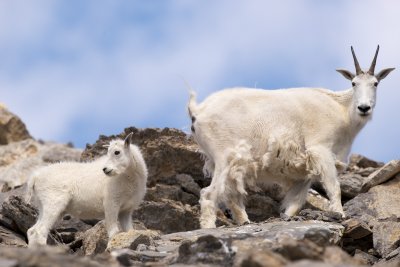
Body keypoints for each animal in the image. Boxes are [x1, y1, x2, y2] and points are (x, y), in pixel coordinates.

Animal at [188, 45, 394, 228]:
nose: (364, 108)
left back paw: (245, 222)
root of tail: (198, 111)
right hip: (224, 156)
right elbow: (334, 186)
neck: (341, 110)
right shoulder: (320, 150)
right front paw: (340, 214)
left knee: (231, 195)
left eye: (375, 83)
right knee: (209, 195)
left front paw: (287, 217)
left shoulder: (305, 170)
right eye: (354, 83)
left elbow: (296, 201)